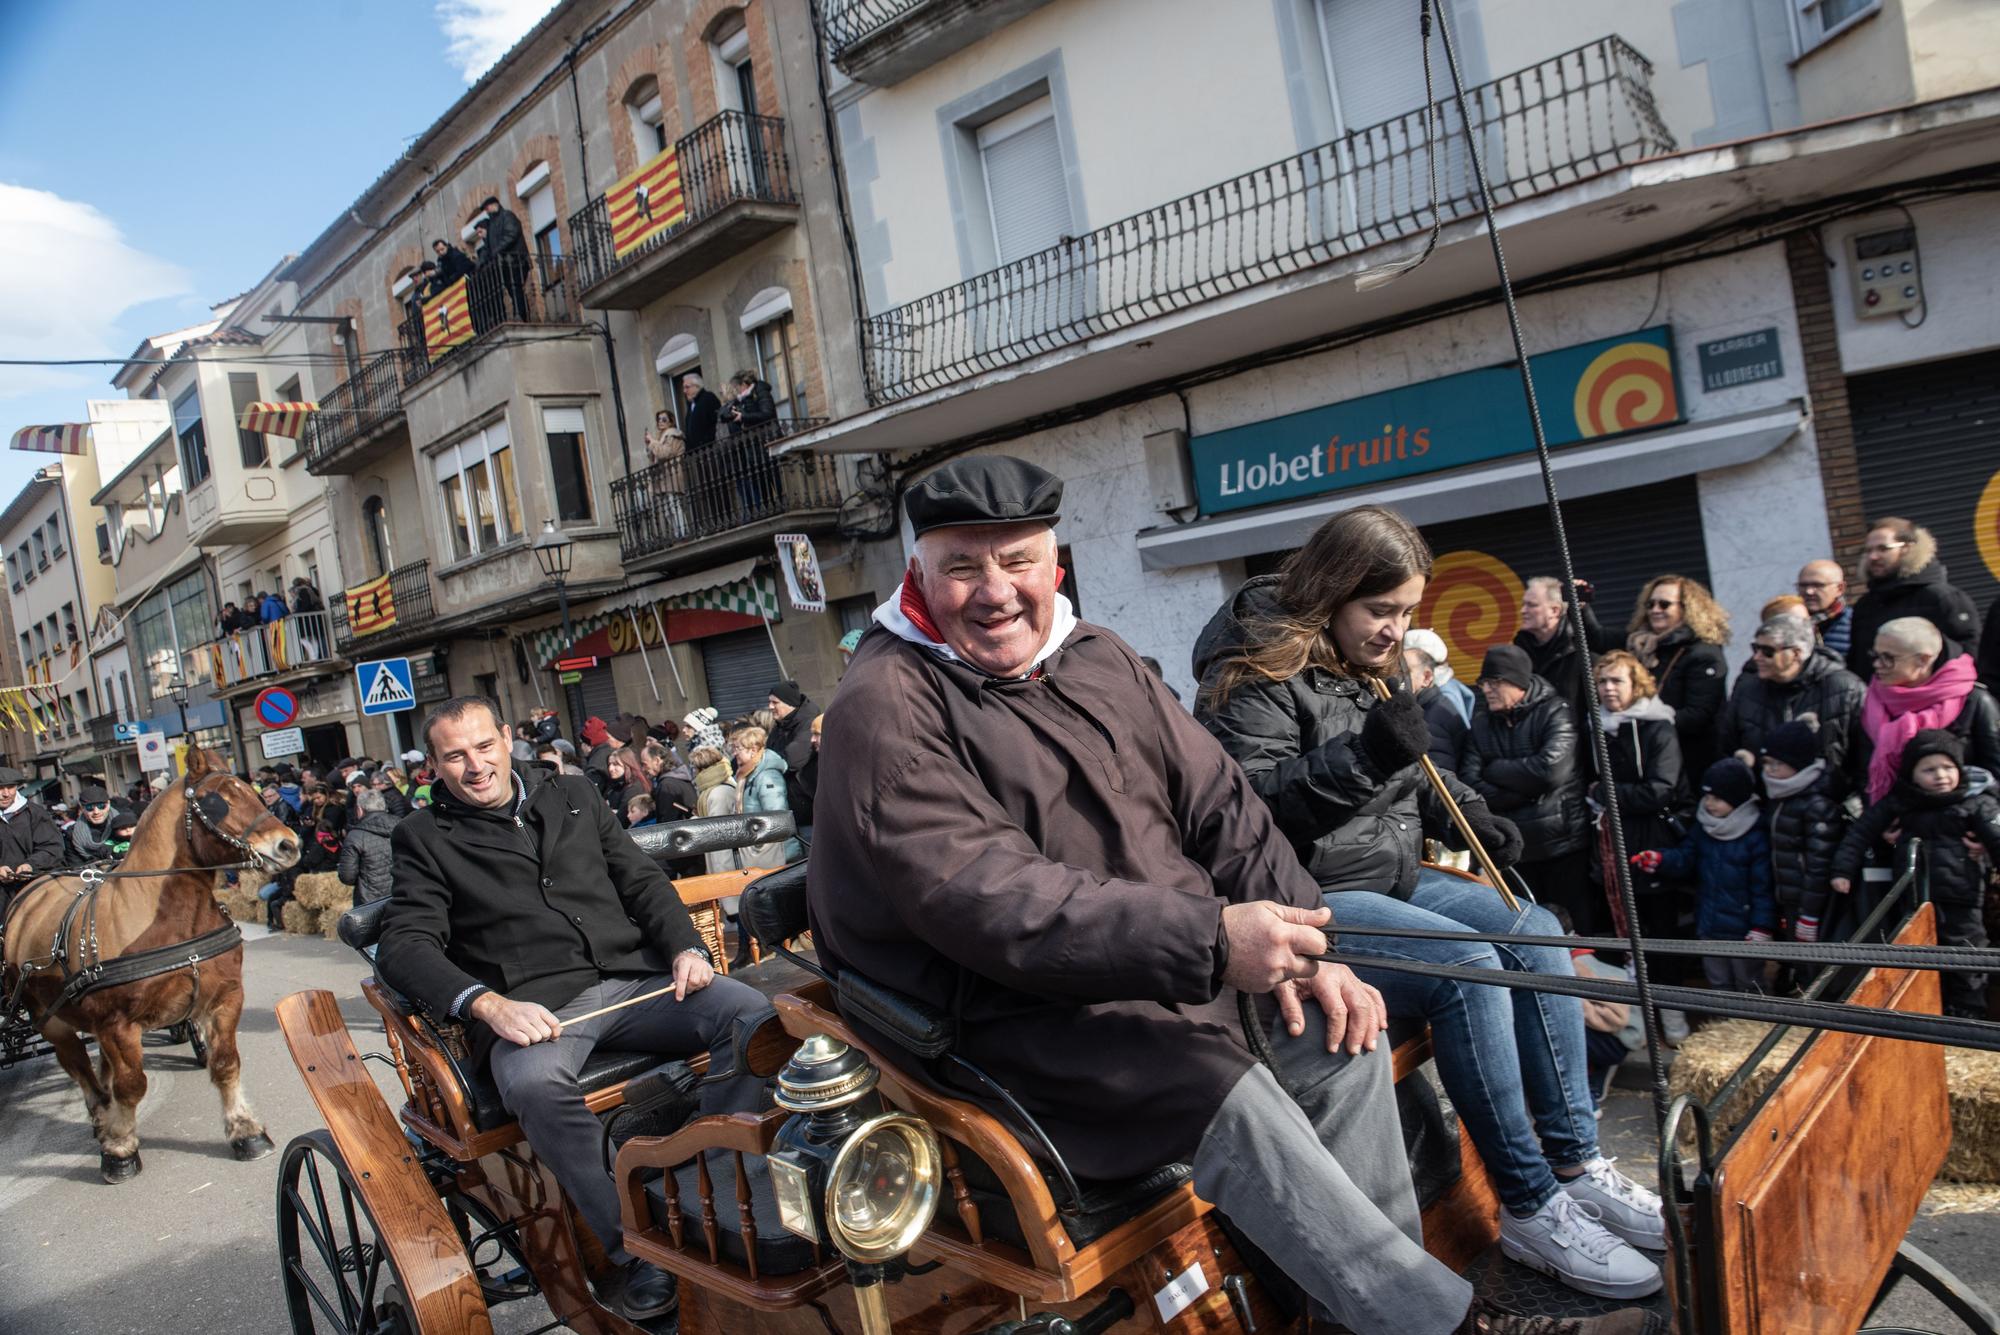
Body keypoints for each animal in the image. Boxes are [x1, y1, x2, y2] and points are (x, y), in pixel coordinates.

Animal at [1, 747, 300, 1183]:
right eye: (218, 802)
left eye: (254, 792)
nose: (289, 846)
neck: (170, 920)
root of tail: (32, 888)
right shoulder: (117, 1024)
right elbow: (132, 1085)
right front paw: (120, 1149)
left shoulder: (224, 999)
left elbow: (225, 1064)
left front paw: (245, 1131)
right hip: (51, 1019)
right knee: (81, 1070)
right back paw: (102, 1121)